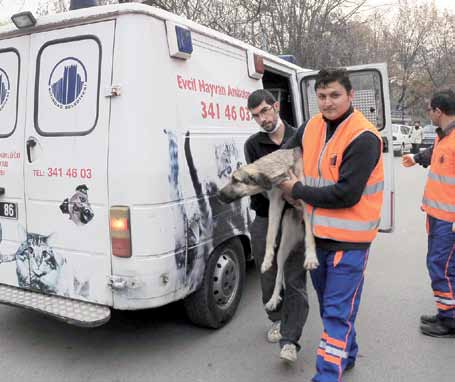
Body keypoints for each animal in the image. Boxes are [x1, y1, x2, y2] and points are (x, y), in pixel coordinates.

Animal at [217, 148, 318, 312]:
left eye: (235, 180)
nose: (217, 195)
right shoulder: (276, 202)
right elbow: (270, 233)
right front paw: (266, 259)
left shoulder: (305, 197)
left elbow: (310, 233)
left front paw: (311, 258)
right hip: (284, 247)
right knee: (279, 274)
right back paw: (274, 299)